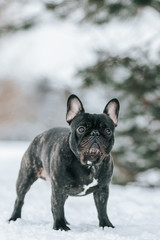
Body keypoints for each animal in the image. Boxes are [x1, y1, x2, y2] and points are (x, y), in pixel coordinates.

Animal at [8, 94, 119, 231]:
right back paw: (14, 218)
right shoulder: (59, 188)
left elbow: (102, 209)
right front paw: (60, 226)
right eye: (81, 129)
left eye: (108, 131)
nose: (95, 133)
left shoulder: (102, 189)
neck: (89, 163)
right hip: (26, 177)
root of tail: (39, 136)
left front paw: (106, 225)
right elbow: (58, 207)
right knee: (20, 199)